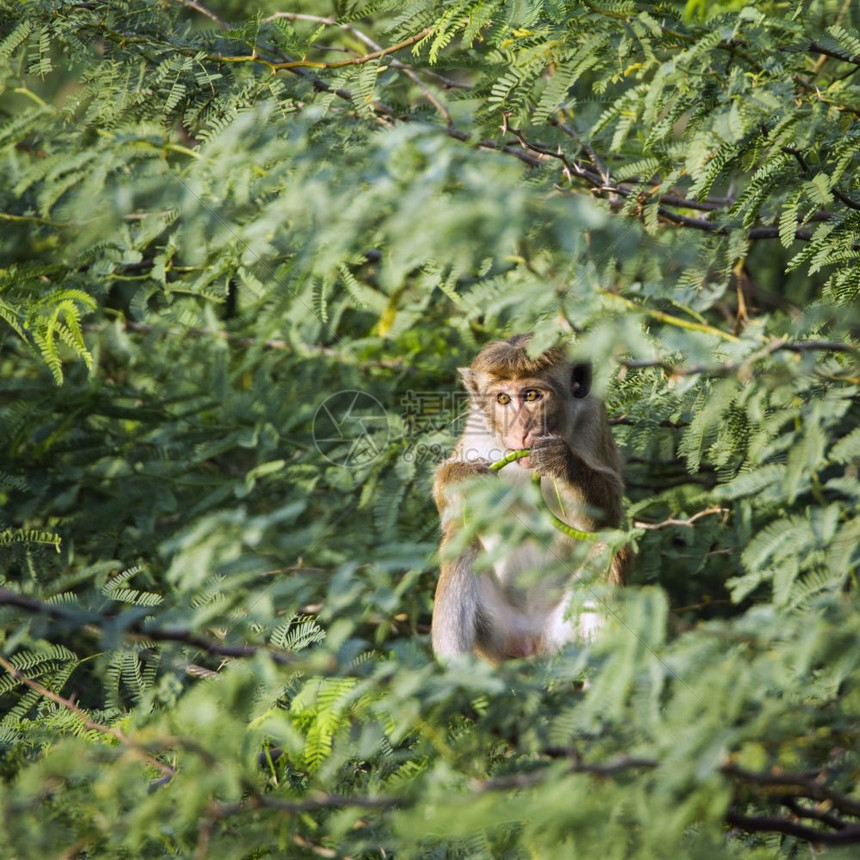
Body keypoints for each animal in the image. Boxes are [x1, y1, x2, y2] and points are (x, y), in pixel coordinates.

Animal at [434, 334, 628, 660]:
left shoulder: (592, 416)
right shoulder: (477, 424)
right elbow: (446, 510)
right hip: (496, 638)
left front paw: (562, 461)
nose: (519, 430)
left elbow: (611, 511)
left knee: (608, 543)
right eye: (502, 399)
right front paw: (468, 478)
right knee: (462, 537)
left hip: (562, 632)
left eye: (532, 395)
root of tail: (530, 641)